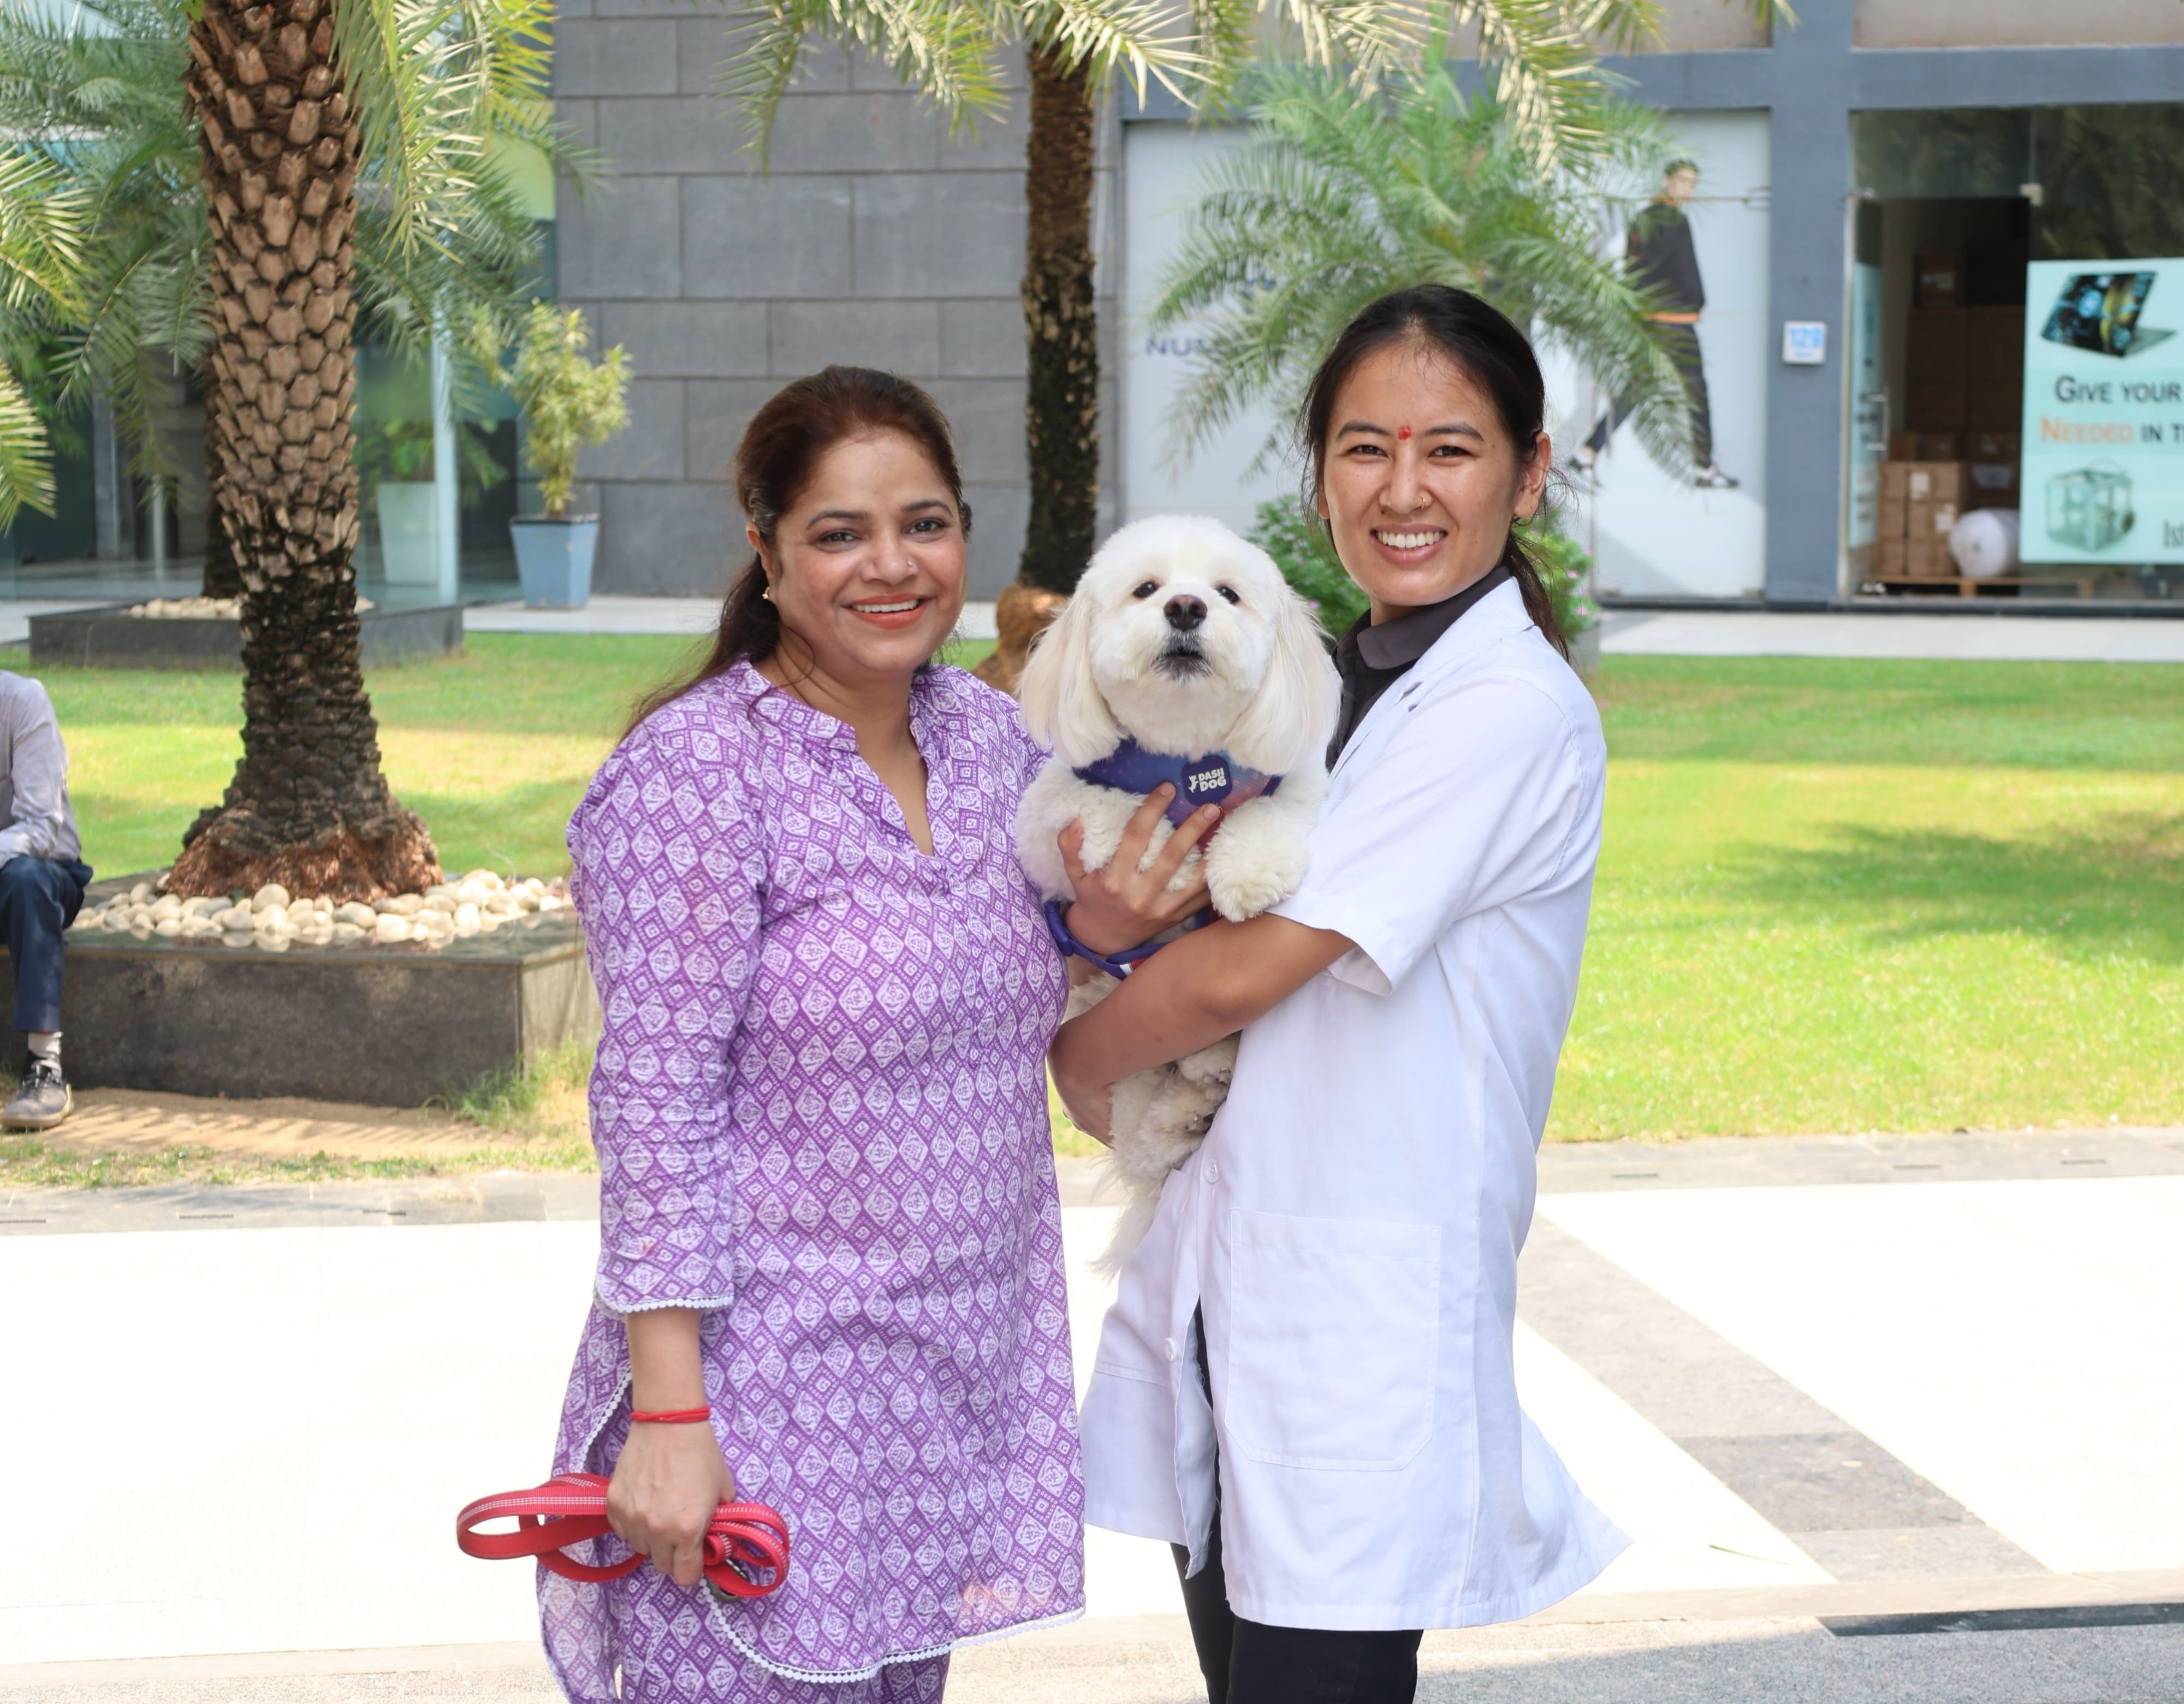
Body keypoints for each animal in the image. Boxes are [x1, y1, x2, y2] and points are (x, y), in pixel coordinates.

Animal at [1016, 514, 1340, 1270]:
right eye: (1146, 589)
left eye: (1226, 593)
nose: (1186, 608)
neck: (1187, 762)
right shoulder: (1046, 816)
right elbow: (1100, 810)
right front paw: (1170, 855)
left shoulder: (1293, 781)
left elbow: (1266, 814)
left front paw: (1244, 869)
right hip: (1106, 1007)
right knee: (1139, 1123)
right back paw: (1179, 1112)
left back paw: (1207, 1075)